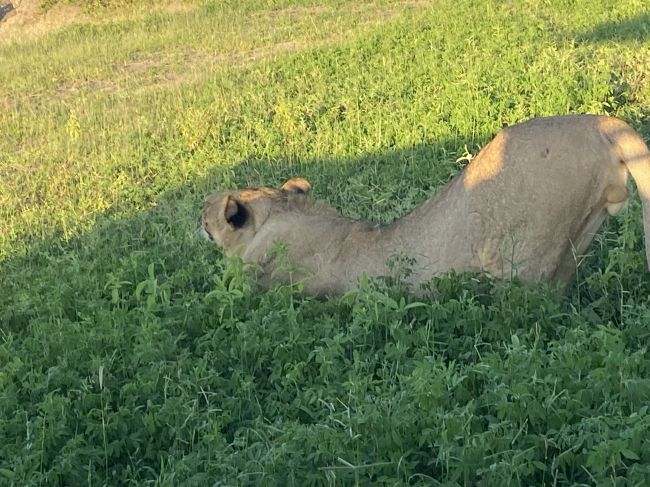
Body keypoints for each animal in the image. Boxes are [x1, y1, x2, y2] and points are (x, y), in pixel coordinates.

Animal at [201, 115, 648, 298]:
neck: (287, 212)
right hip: (577, 238)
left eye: (210, 212)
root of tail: (599, 122)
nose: (198, 209)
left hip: (516, 259)